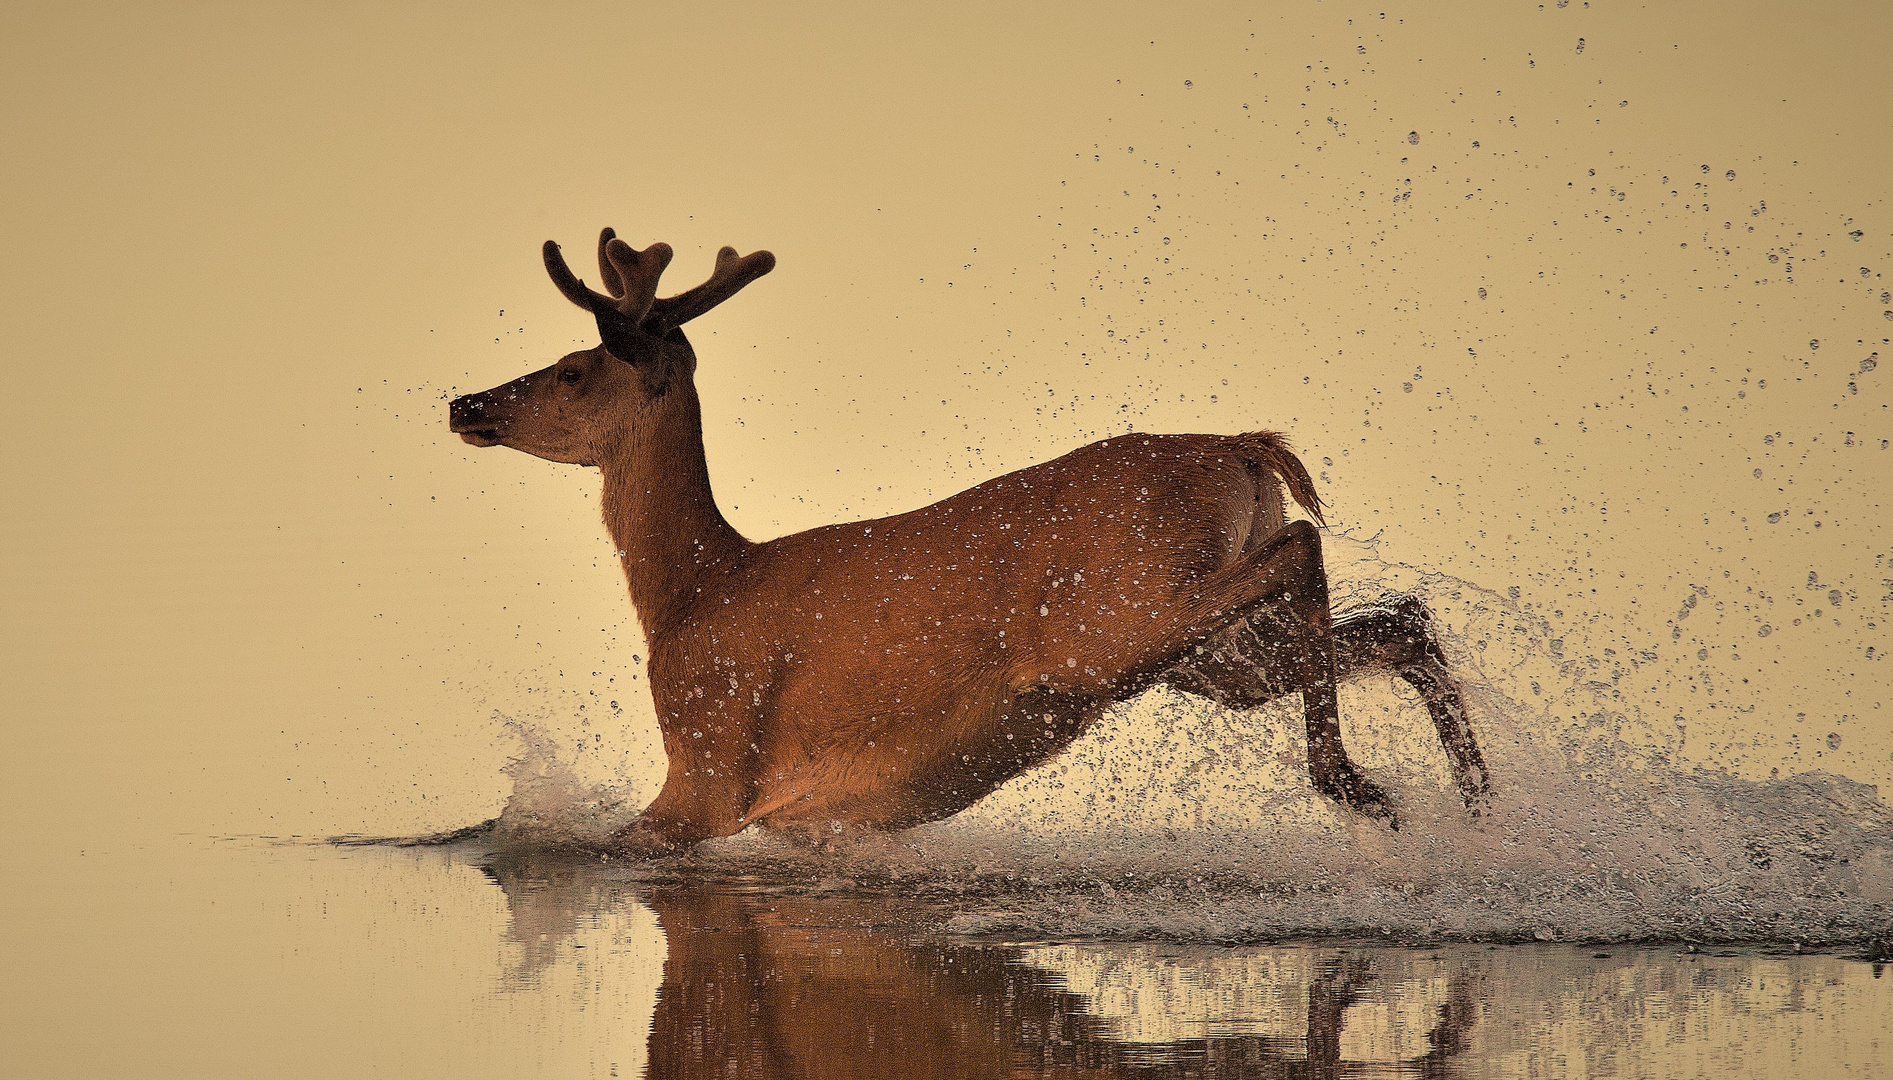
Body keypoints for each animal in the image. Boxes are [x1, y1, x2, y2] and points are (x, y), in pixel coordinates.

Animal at [450, 230, 1484, 862]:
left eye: (572, 369)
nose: (466, 402)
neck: (691, 588)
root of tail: (1245, 448)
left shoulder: (706, 764)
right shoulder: (831, 828)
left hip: (1114, 622)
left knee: (1310, 550)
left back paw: (1358, 787)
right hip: (1204, 657)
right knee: (1397, 618)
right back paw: (1479, 808)